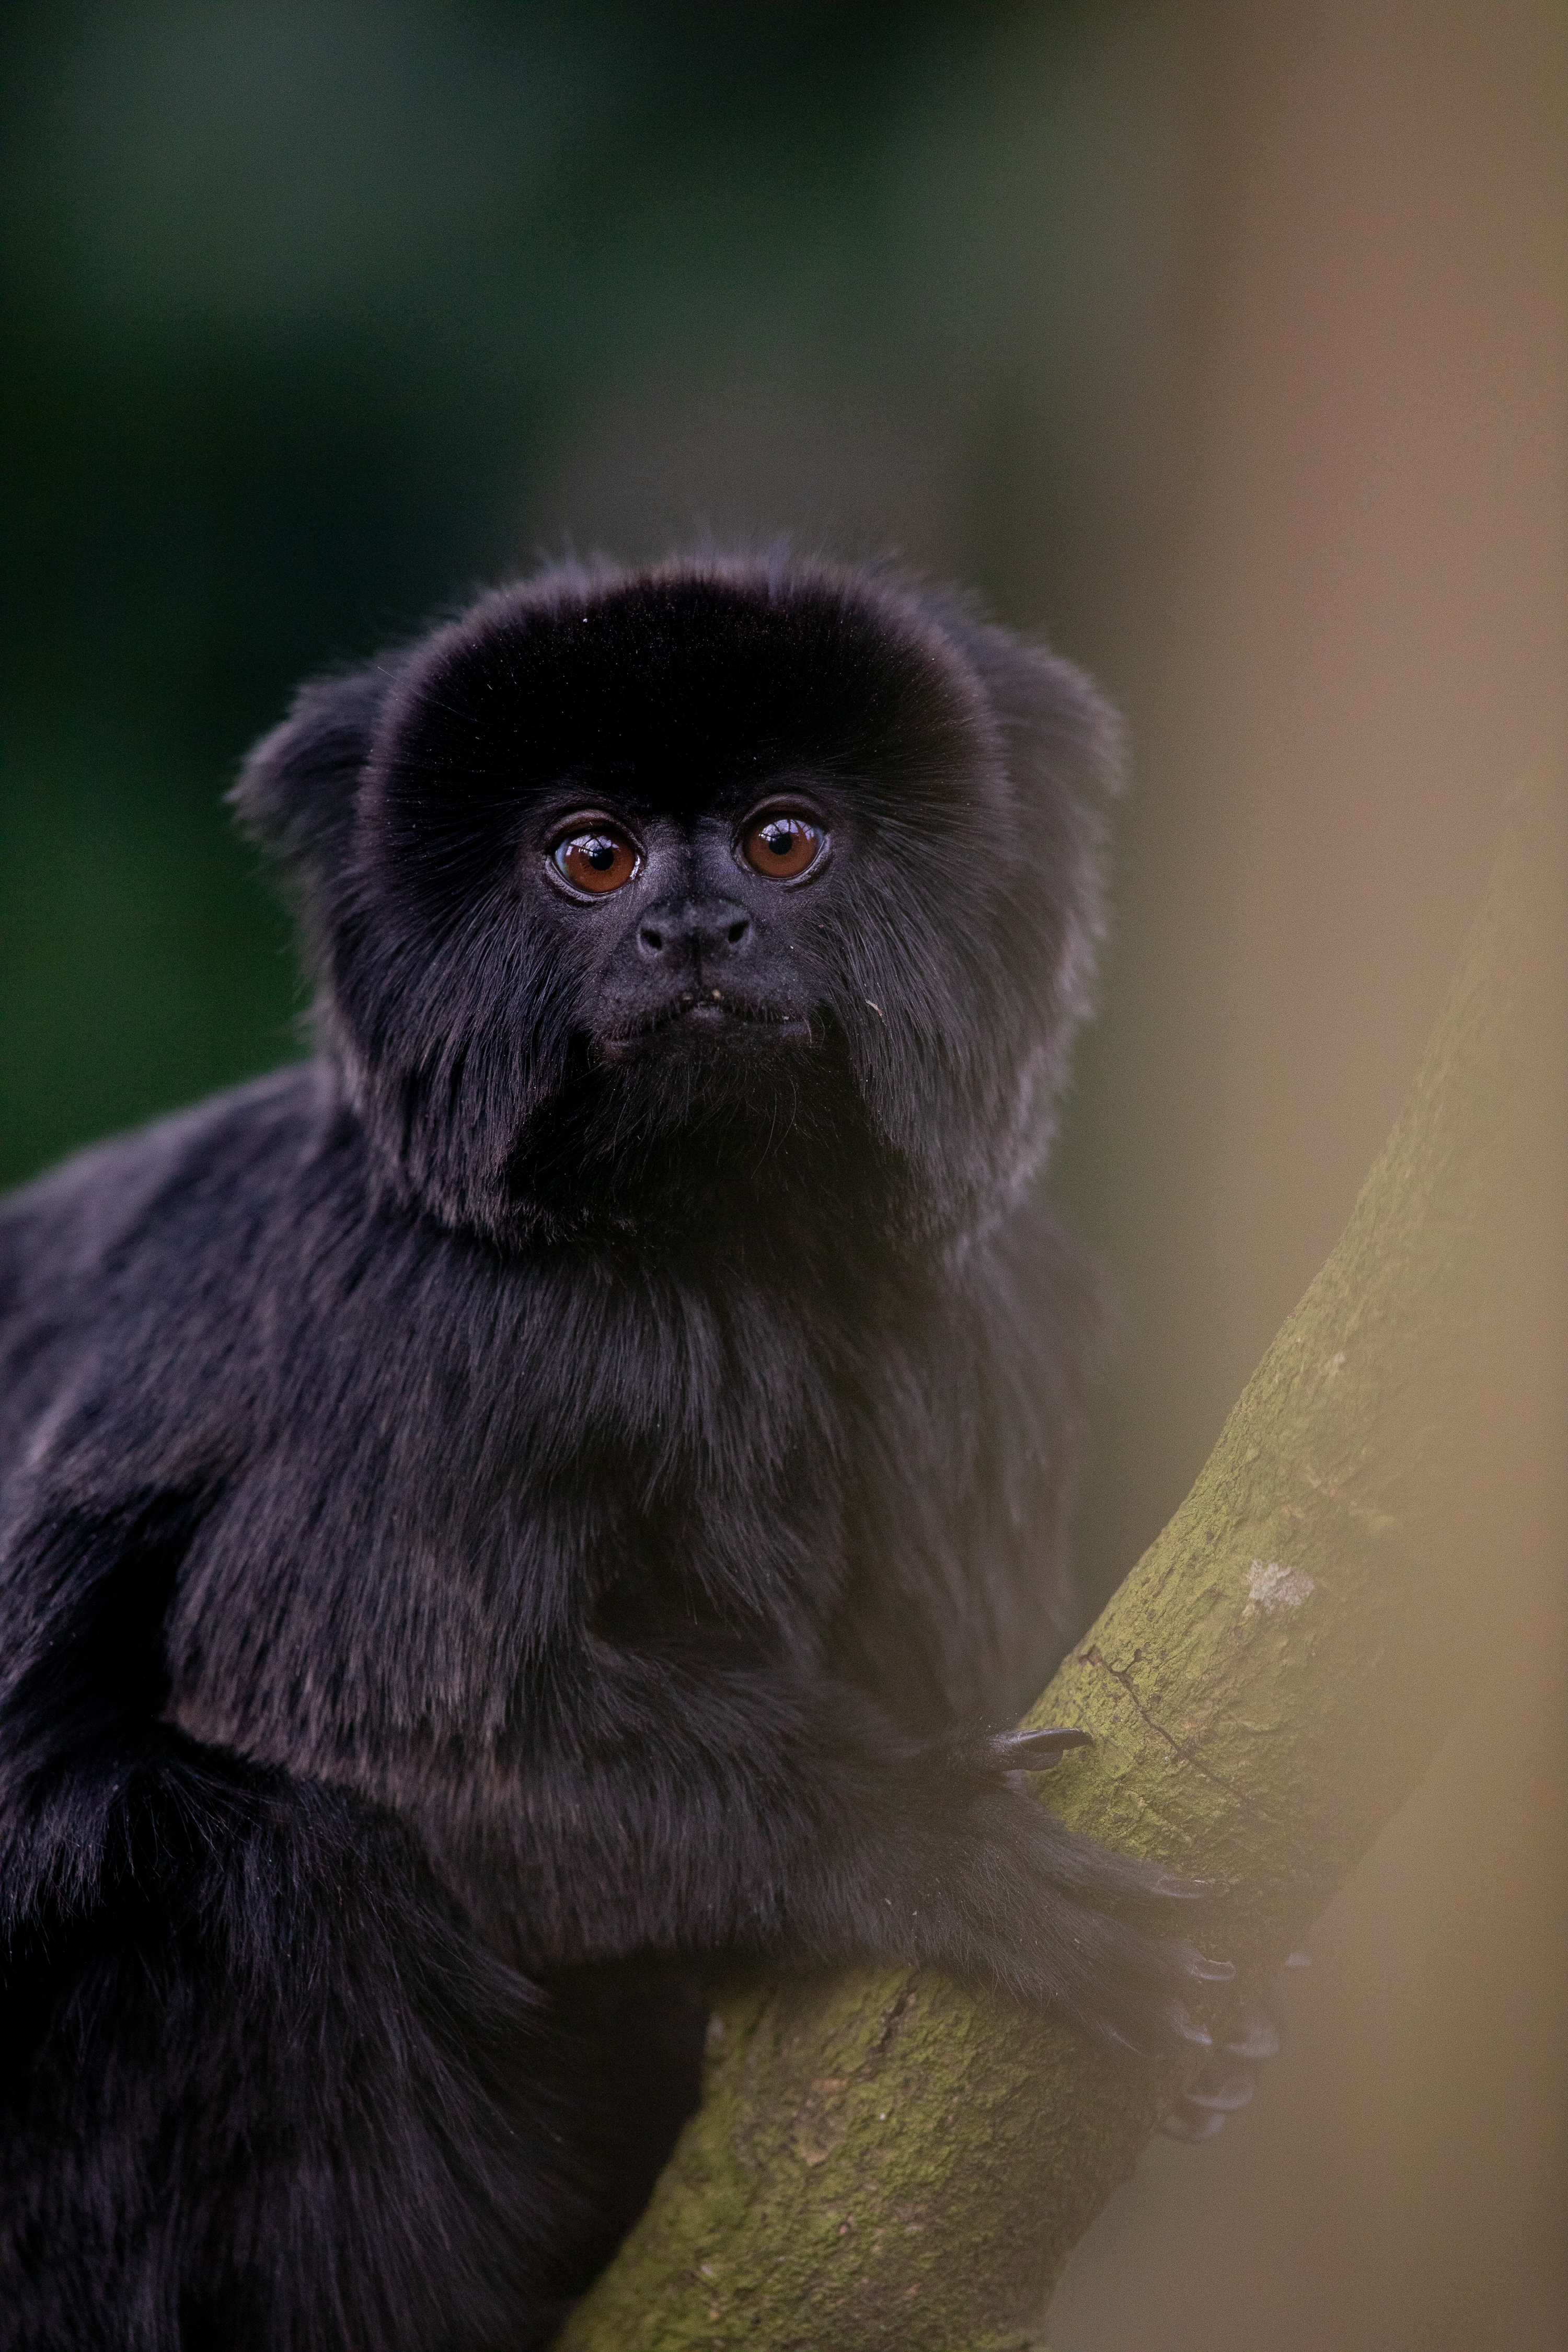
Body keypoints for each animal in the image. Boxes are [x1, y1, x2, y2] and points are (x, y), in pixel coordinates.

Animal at [0, 555, 1222, 2352]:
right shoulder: (438, 1325)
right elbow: (340, 1712)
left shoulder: (993, 1334)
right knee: (259, 1860)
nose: (693, 929)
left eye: (782, 842)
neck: (727, 1254)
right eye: (593, 858)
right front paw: (914, 1843)